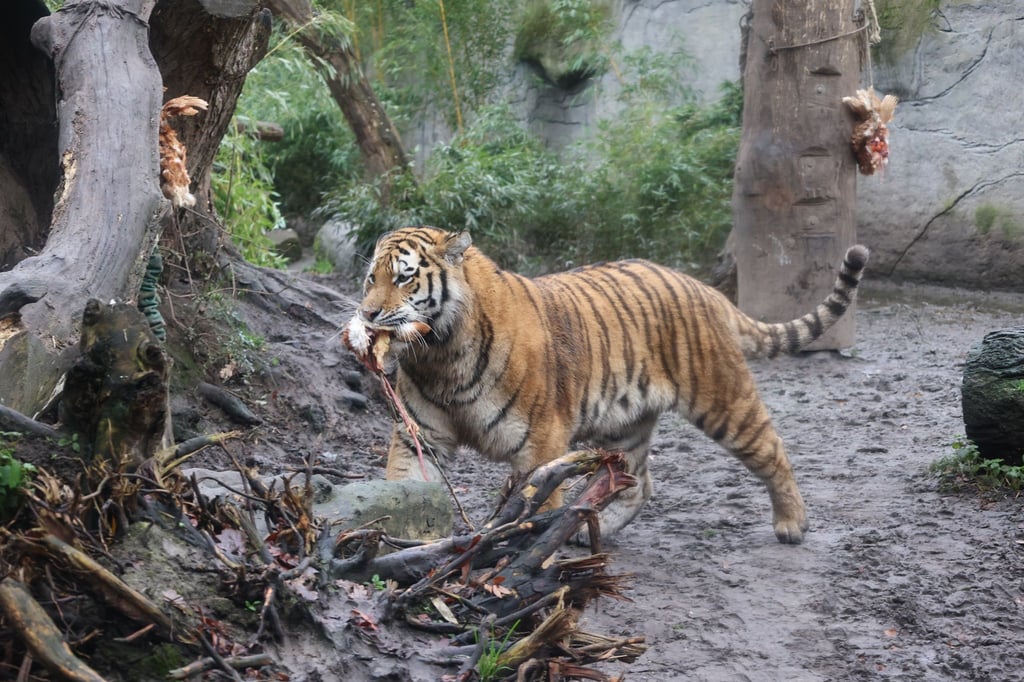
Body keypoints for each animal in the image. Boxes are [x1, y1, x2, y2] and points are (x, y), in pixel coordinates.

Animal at [342, 226, 869, 545]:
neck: (440, 353)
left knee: (772, 450)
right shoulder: (422, 432)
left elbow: (536, 502)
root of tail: (706, 289)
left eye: (404, 279)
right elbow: (406, 485)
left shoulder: (541, 441)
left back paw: (792, 524)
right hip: (625, 424)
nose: (368, 314)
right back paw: (589, 528)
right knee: (639, 481)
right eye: (370, 278)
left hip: (724, 400)